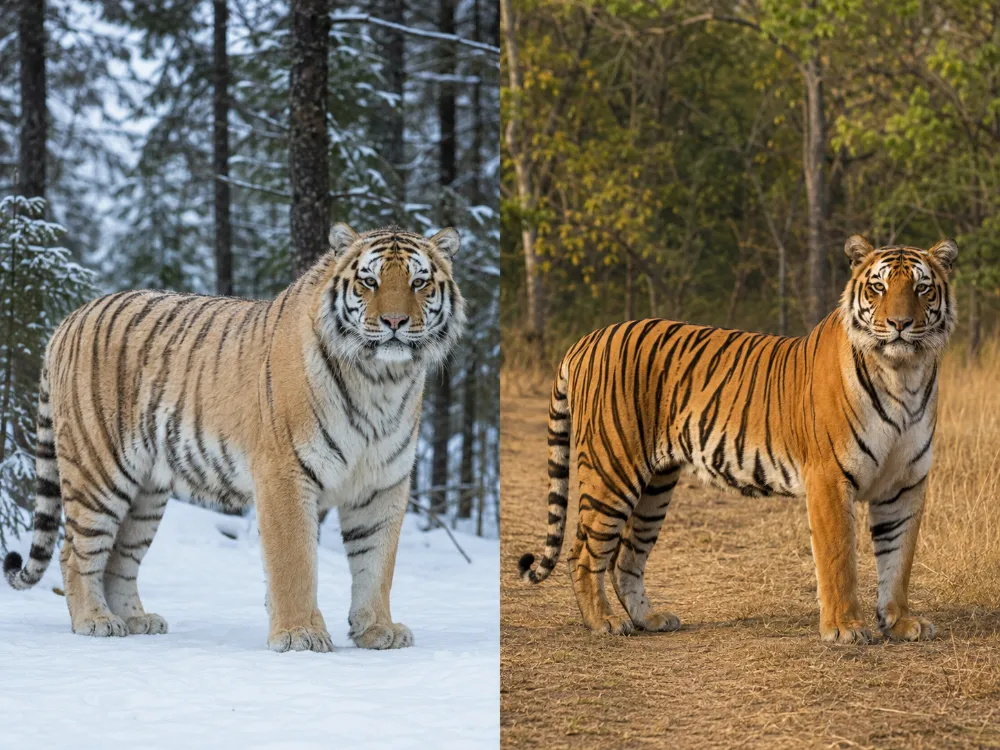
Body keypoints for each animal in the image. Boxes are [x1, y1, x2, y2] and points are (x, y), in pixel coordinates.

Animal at [3, 222, 465, 653]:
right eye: (369, 281)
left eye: (418, 282)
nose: (394, 322)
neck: (381, 380)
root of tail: (69, 319)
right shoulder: (284, 473)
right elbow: (294, 562)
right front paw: (299, 634)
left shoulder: (383, 483)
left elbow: (377, 564)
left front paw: (377, 630)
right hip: (98, 470)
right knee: (74, 551)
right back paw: (95, 621)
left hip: (146, 492)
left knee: (119, 556)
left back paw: (136, 619)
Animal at [518, 235, 957, 644]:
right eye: (878, 287)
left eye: (921, 288)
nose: (900, 324)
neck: (903, 374)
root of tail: (587, 338)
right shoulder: (830, 478)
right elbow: (839, 559)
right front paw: (845, 628)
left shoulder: (905, 483)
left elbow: (898, 559)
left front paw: (900, 622)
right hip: (613, 469)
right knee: (584, 551)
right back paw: (604, 622)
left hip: (656, 485)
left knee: (626, 556)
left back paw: (649, 619)